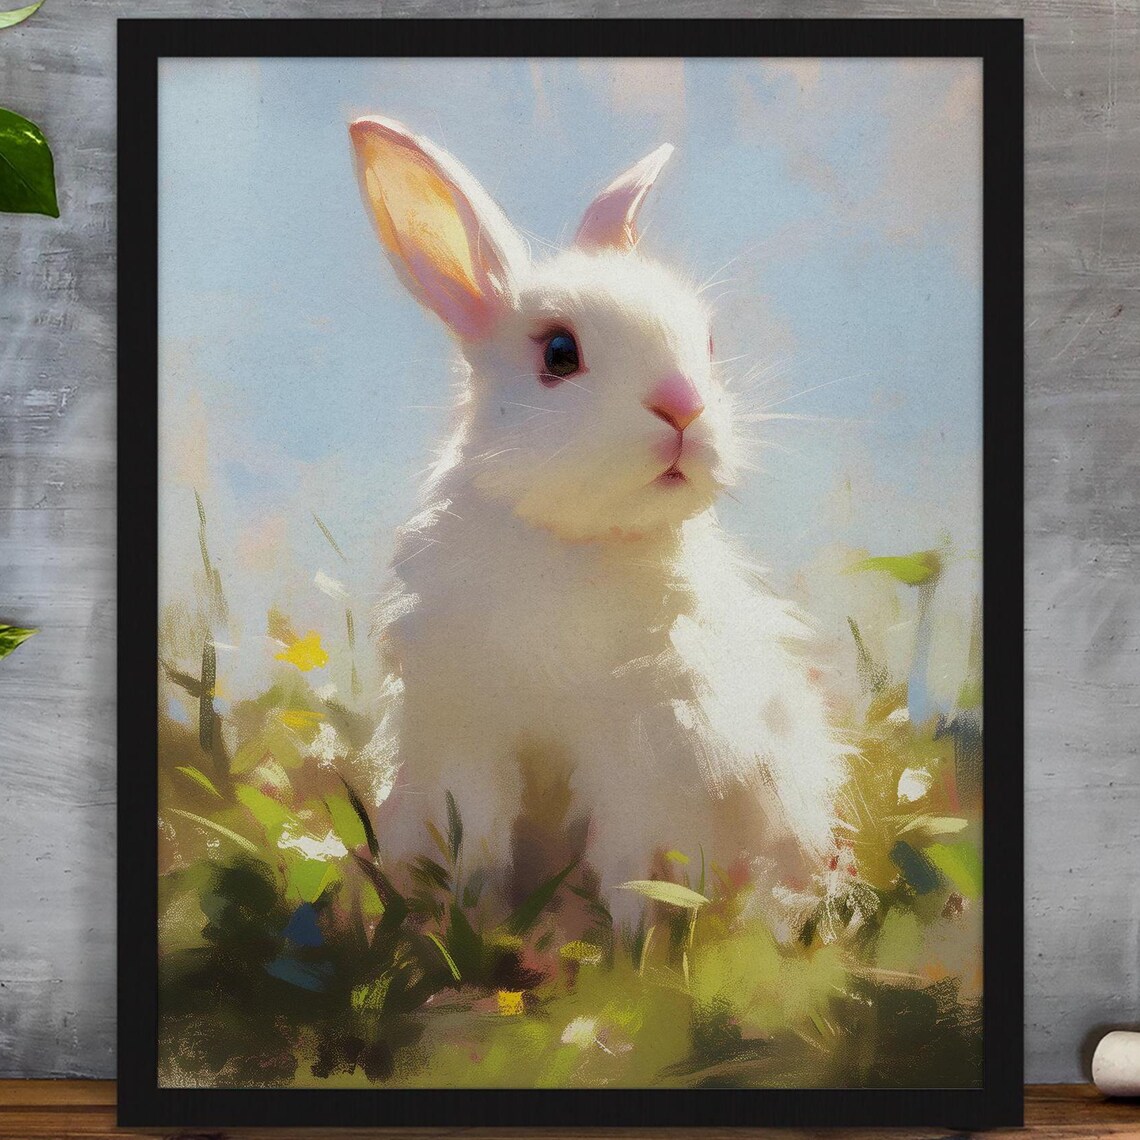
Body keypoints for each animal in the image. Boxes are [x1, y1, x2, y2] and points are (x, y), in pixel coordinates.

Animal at [347, 115, 848, 915]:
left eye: (708, 343)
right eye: (559, 352)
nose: (684, 407)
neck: (575, 541)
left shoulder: (651, 754)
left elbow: (631, 865)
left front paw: (632, 933)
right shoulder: (463, 735)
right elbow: (473, 840)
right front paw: (463, 916)